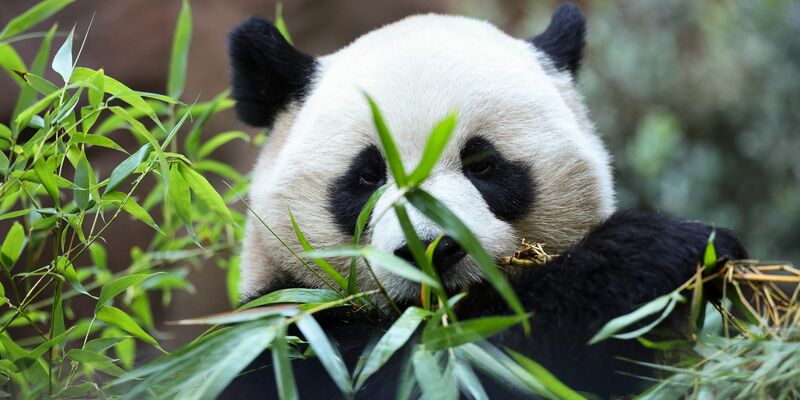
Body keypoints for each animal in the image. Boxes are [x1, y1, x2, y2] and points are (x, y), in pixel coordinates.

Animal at [224, 3, 746, 399]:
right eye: (368, 175)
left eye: (481, 163)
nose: (430, 248)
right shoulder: (275, 337)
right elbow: (451, 357)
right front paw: (659, 251)